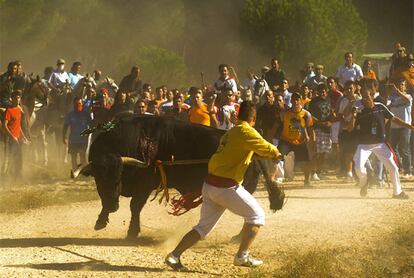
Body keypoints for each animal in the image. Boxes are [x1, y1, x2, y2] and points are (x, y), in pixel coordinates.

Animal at [77, 115, 284, 239]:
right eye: (98, 178)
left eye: (118, 175)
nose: (114, 206)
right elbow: (107, 202)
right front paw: (101, 220)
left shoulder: (145, 185)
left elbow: (135, 206)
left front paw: (132, 231)